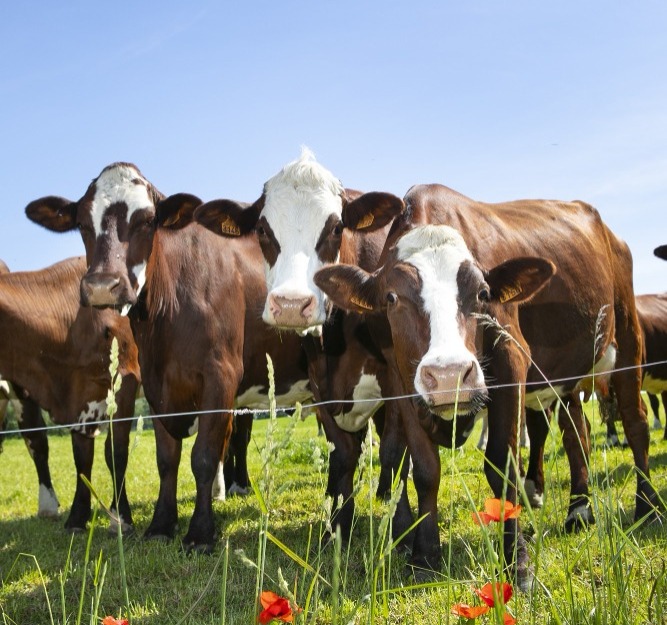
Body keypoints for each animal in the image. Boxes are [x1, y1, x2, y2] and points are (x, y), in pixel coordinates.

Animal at [0, 258, 140, 532]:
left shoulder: (125, 384)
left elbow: (116, 452)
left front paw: (120, 518)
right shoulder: (76, 397)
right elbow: (80, 458)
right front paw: (76, 517)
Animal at [26, 165, 314, 552]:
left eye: (147, 221)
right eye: (83, 223)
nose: (102, 286)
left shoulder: (221, 375)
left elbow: (204, 456)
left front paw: (200, 533)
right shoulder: (156, 382)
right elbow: (166, 459)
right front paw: (162, 524)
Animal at [188, 150, 408, 540]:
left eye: (336, 227)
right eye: (262, 230)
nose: (291, 304)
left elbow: (395, 449)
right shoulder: (323, 383)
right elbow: (342, 452)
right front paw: (338, 524)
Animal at [312, 184, 656, 584]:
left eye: (482, 294)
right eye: (392, 298)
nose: (449, 375)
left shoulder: (511, 360)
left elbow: (502, 466)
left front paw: (518, 561)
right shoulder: (401, 380)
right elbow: (424, 469)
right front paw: (425, 554)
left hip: (628, 334)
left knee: (635, 422)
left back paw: (647, 507)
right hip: (568, 372)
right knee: (577, 431)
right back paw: (579, 511)